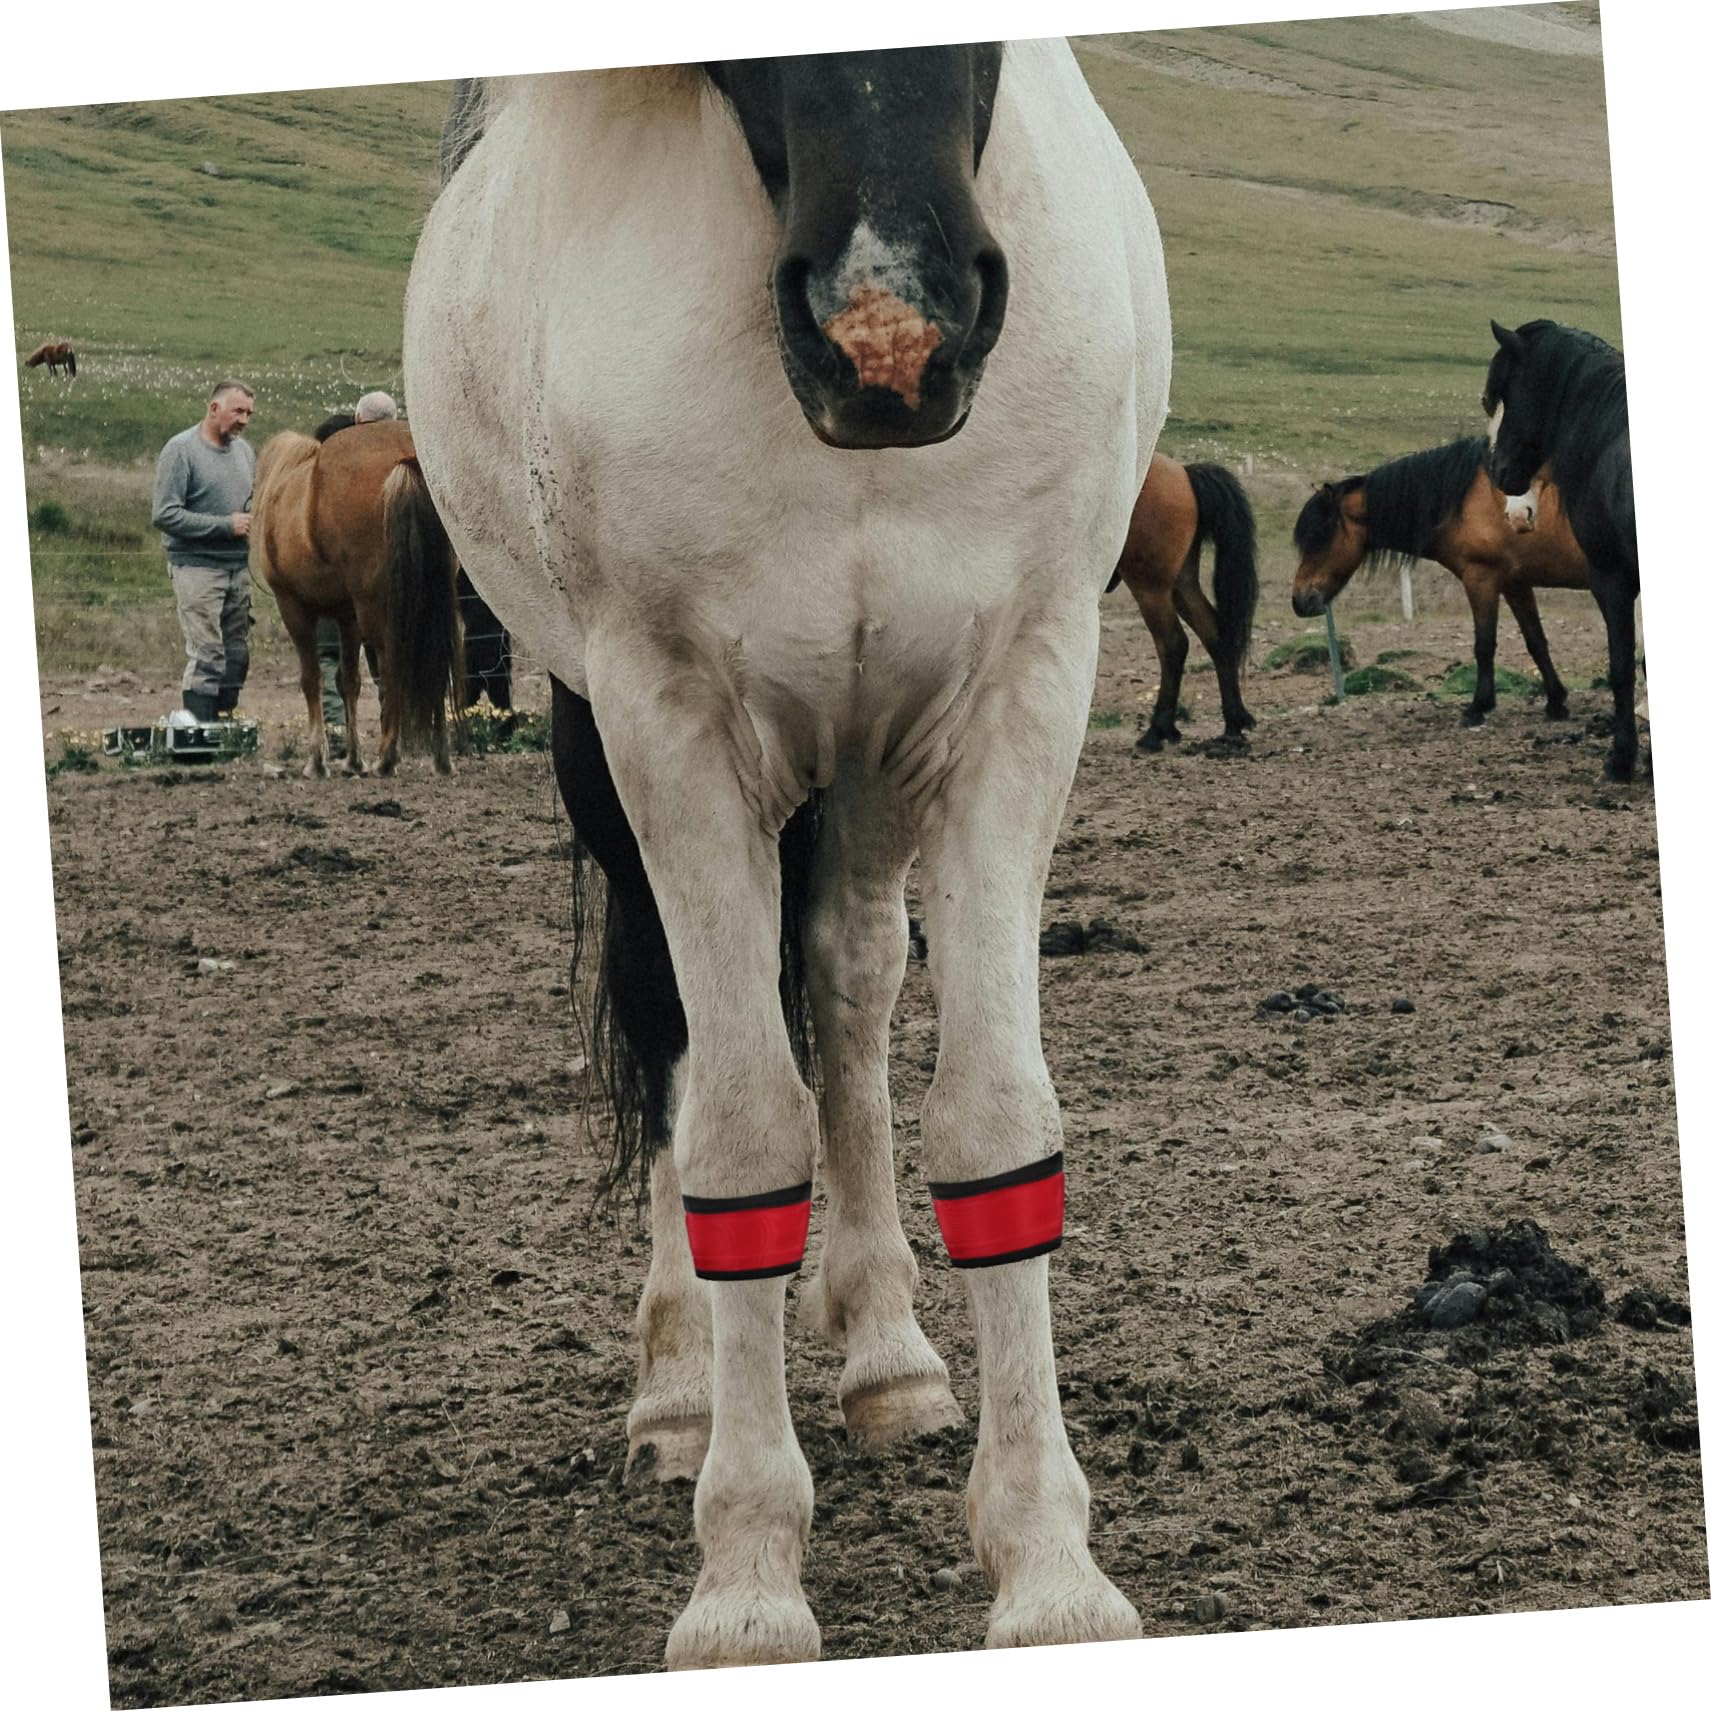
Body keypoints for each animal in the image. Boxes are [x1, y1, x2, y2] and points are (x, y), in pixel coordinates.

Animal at [249, 419, 461, 778]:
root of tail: (406, 456)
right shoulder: (346, 616)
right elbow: (349, 680)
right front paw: (352, 759)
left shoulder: (293, 608)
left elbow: (312, 680)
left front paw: (316, 760)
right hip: (432, 602)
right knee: (438, 657)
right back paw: (441, 756)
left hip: (378, 610)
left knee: (392, 663)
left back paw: (387, 756)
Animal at [404, 46, 1170, 1668]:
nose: (891, 334)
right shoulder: (666, 720)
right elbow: (742, 1134)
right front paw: (747, 1575)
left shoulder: (1021, 687)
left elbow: (994, 1119)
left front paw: (1046, 1566)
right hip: (606, 741)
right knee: (677, 1028)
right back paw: (682, 1389)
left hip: (873, 749)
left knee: (849, 976)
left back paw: (886, 1351)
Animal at [1107, 453, 1258, 750]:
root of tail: (1183, 472)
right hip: (1181, 585)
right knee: (1214, 634)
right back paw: (1233, 723)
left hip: (1151, 587)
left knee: (1173, 644)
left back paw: (1158, 730)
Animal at [1291, 437, 1590, 725]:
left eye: (1319, 536)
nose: (1299, 601)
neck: (1469, 500)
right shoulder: (1515, 584)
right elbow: (1535, 641)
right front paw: (1556, 702)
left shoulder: (1480, 579)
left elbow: (1484, 645)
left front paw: (1478, 706)